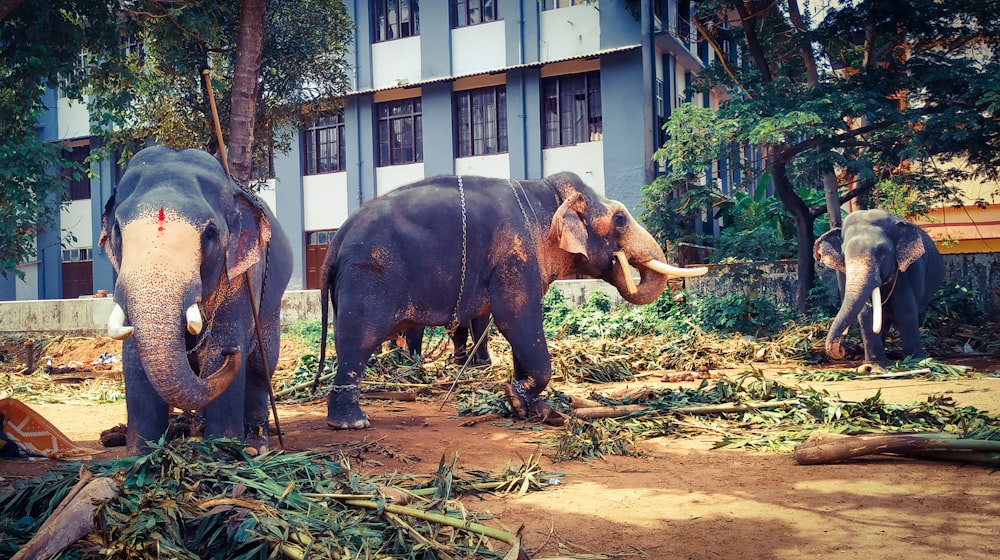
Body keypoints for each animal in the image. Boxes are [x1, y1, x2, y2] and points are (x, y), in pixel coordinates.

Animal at [99, 145, 292, 456]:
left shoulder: (243, 277)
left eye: (210, 233)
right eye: (117, 230)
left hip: (272, 306)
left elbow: (219, 348)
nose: (232, 354)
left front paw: (223, 454)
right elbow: (133, 358)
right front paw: (141, 457)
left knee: (260, 367)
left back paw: (255, 447)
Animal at [316, 173, 708, 426]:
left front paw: (532, 409)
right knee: (358, 338)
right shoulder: (516, 255)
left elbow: (517, 329)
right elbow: (517, 318)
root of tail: (336, 240)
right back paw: (352, 423)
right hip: (371, 275)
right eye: (622, 218)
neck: (546, 195)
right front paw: (518, 400)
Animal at [812, 208, 944, 370]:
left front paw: (914, 363)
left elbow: (905, 310)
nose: (843, 350)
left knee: (917, 312)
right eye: (844, 254)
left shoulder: (908, 273)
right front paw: (871, 368)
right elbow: (866, 314)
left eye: (881, 251)